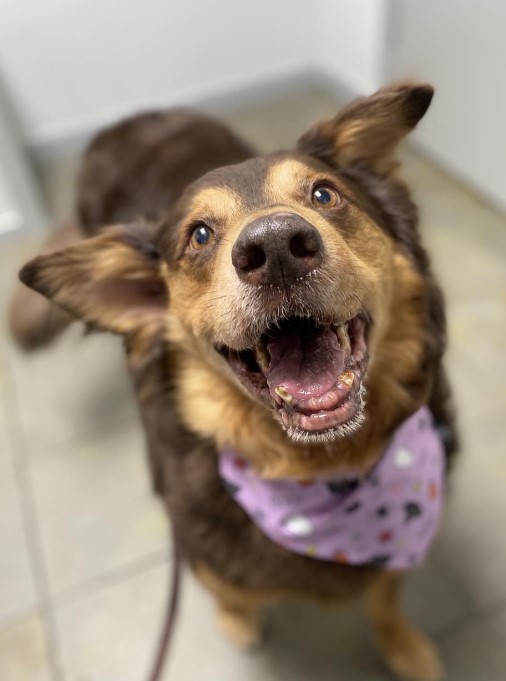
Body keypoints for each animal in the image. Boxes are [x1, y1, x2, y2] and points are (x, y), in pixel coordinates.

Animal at [16, 83, 458, 680]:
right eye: (199, 235)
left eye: (324, 195)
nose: (276, 247)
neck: (322, 467)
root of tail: (129, 121)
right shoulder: (199, 543)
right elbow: (228, 587)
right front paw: (237, 618)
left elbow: (386, 595)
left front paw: (404, 644)